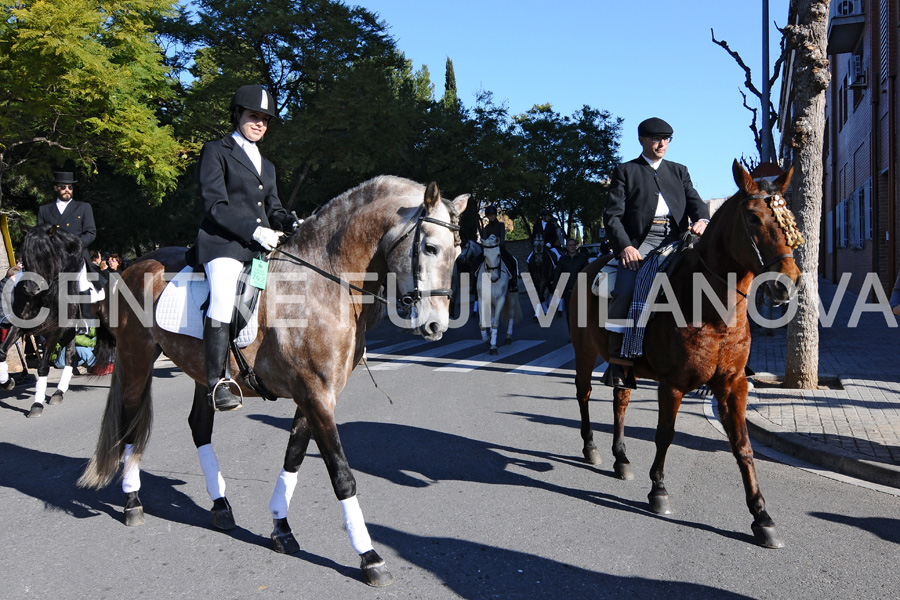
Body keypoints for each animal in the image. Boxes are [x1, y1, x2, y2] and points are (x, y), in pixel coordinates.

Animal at [0, 225, 116, 418]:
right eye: (25, 254)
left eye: (45, 254)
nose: (30, 289)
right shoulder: (19, 326)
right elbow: (2, 352)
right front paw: (7, 382)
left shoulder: (53, 331)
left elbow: (43, 367)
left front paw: (37, 404)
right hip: (70, 331)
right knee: (70, 357)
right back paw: (58, 393)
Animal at [77, 177, 468, 584]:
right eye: (430, 247)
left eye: (458, 252)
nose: (436, 326)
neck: (324, 283)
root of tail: (132, 266)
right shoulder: (315, 395)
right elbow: (341, 474)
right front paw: (369, 556)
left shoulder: (314, 395)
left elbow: (293, 458)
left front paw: (281, 529)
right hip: (136, 360)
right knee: (129, 424)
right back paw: (132, 502)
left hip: (203, 373)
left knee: (199, 427)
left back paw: (220, 506)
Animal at [568, 162, 804, 552]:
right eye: (754, 218)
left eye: (790, 219)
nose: (788, 284)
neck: (712, 306)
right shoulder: (673, 383)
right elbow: (665, 434)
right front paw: (659, 491)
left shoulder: (733, 384)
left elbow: (743, 446)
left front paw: (762, 518)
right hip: (584, 352)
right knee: (584, 395)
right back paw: (591, 448)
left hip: (622, 366)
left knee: (620, 401)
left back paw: (621, 458)